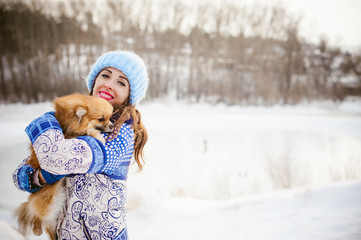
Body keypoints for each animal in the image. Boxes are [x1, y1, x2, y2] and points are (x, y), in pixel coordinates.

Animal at [14, 93, 112, 240]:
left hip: (53, 214)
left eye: (110, 117)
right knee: (35, 214)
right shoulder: (69, 136)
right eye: (101, 119)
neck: (69, 120)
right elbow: (88, 130)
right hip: (45, 206)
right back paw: (36, 228)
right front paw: (97, 136)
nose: (112, 125)